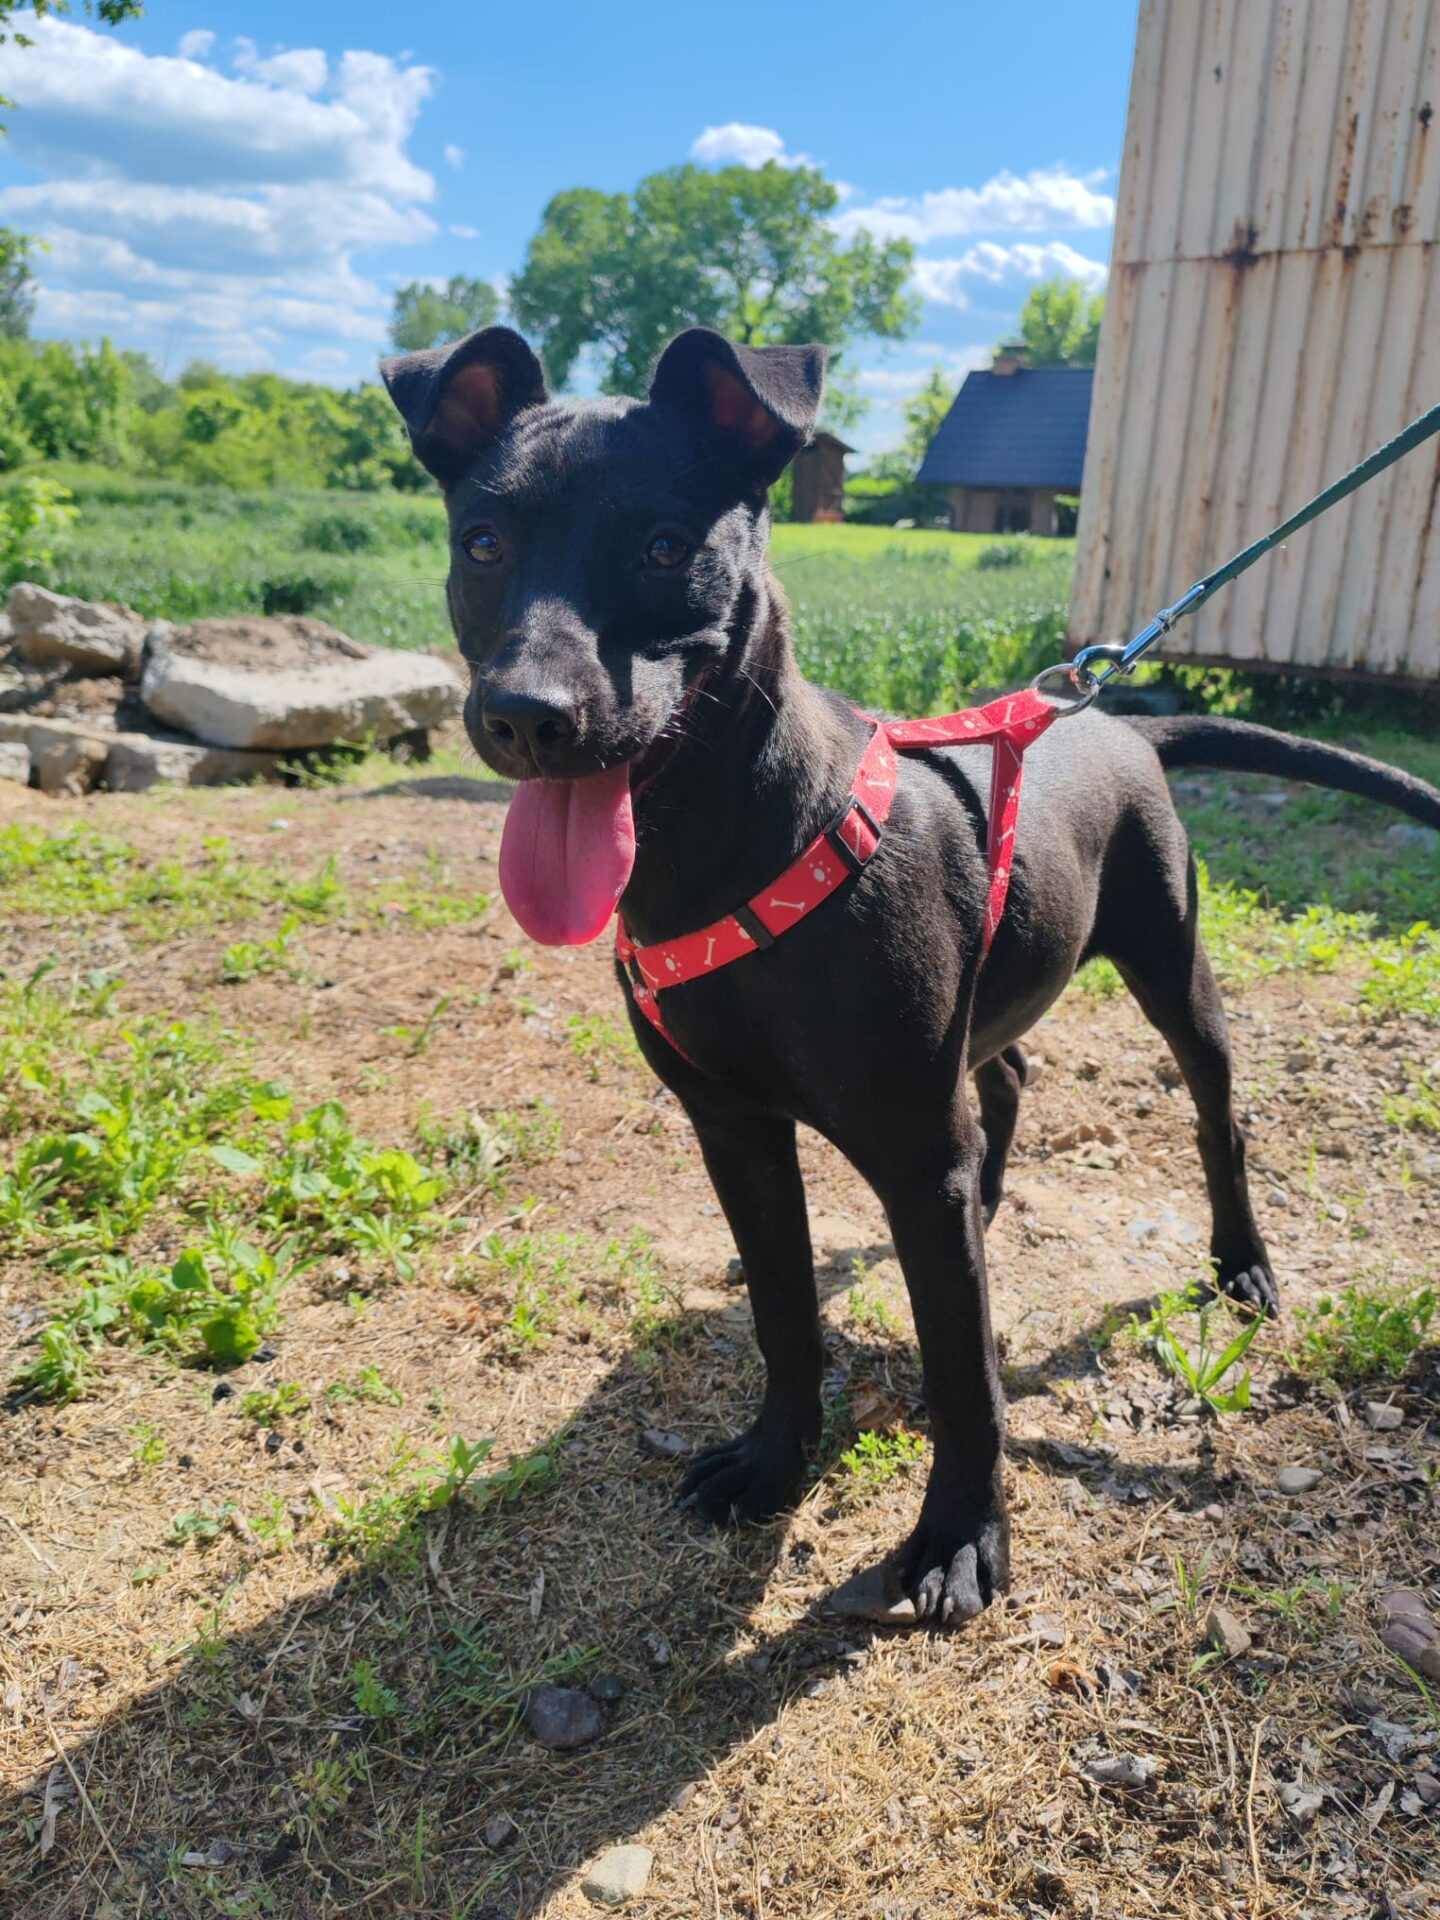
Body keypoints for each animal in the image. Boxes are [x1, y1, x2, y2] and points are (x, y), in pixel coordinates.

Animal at [382, 326, 1440, 1625]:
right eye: (482, 542)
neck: (729, 850)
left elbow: (965, 1373)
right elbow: (784, 1311)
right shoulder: (734, 1131)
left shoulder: (909, 1144)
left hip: (1174, 974)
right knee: (1010, 1077)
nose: (527, 716)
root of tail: (1118, 719)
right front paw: (772, 1462)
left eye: (665, 546)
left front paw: (958, 1537)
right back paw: (996, 1195)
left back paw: (1241, 1263)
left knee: (1215, 1121)